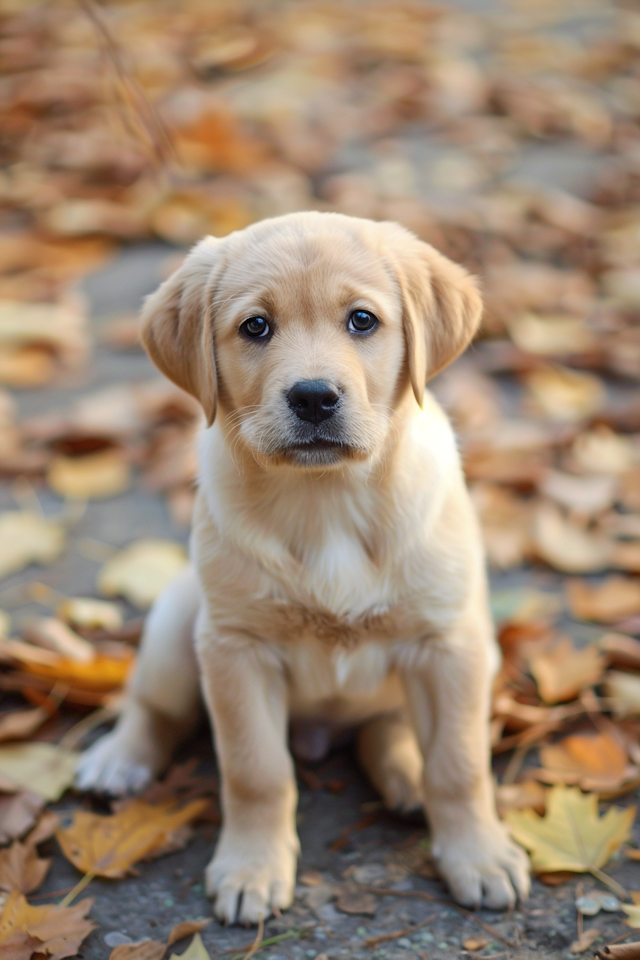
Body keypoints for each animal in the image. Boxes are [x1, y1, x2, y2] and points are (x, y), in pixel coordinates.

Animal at [76, 212, 528, 924]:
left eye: (363, 321)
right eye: (255, 326)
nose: (314, 397)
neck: (328, 502)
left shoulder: (449, 643)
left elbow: (459, 765)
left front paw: (479, 857)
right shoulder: (236, 649)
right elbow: (256, 771)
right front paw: (251, 868)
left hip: (475, 646)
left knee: (389, 730)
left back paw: (406, 776)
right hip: (180, 620)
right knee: (154, 706)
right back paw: (119, 758)